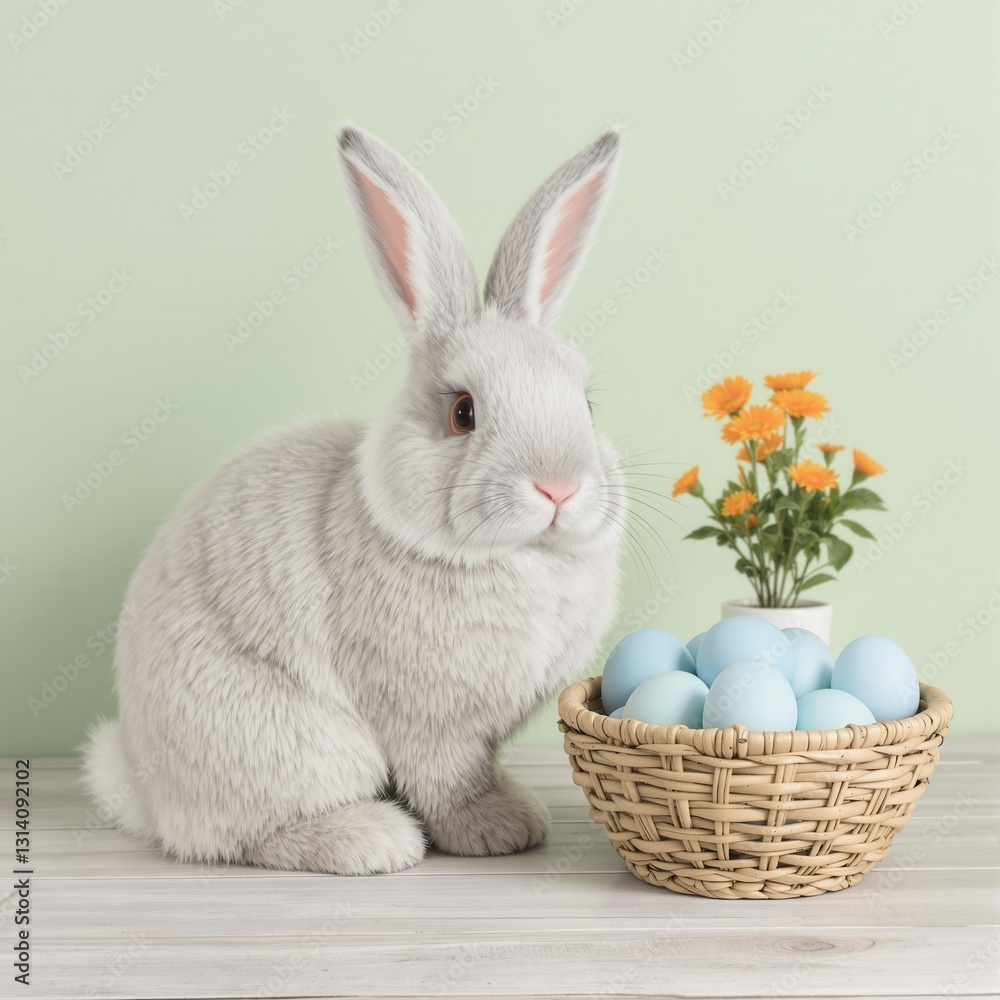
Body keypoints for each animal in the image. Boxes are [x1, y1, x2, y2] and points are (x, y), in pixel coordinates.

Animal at [79, 124, 626, 875]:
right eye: (462, 413)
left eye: (587, 403)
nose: (559, 487)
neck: (519, 555)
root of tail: (149, 796)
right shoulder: (429, 723)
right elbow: (449, 779)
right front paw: (493, 831)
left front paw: (516, 814)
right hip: (294, 744)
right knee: (250, 836)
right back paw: (372, 840)